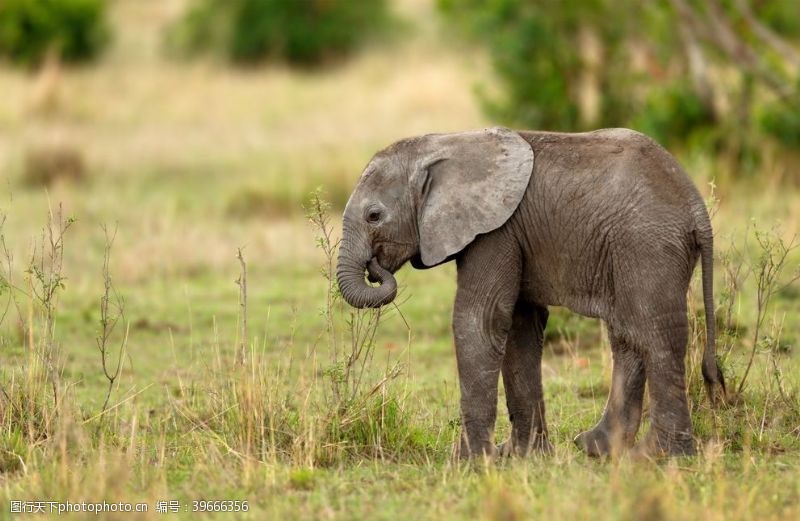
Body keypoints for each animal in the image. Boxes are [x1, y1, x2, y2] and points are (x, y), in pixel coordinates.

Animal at [334, 127, 728, 460]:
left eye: (374, 216)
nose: (375, 267)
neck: (444, 142)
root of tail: (697, 207)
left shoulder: (496, 232)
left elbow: (479, 321)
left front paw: (469, 461)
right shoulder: (510, 235)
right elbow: (520, 328)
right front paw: (523, 456)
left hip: (649, 245)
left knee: (656, 335)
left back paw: (657, 457)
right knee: (628, 334)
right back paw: (597, 448)